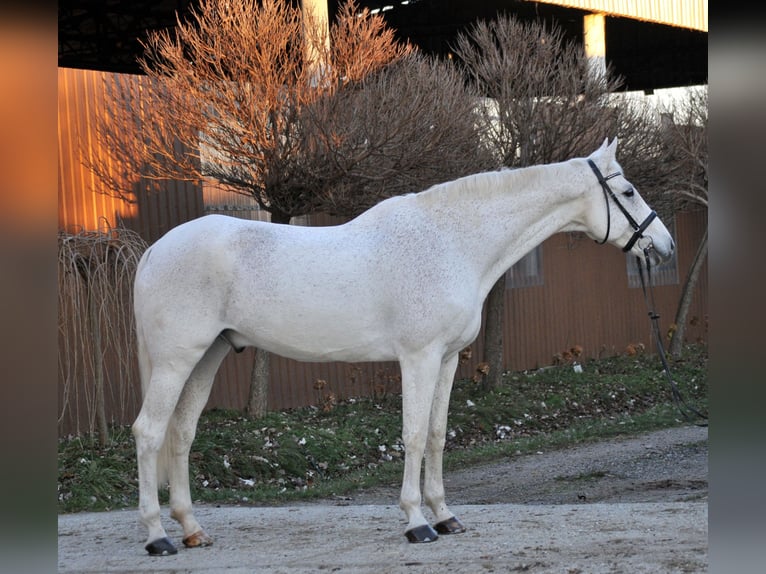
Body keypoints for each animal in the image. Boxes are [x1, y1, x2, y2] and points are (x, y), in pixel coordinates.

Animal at [131, 138, 674, 555]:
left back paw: (193, 530)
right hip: (176, 361)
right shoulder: (419, 356)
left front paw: (446, 515)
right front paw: (417, 523)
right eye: (627, 190)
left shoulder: (448, 358)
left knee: (182, 435)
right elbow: (412, 435)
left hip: (208, 357)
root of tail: (156, 250)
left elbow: (436, 434)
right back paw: (158, 537)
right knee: (149, 433)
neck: (451, 242)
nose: (665, 247)